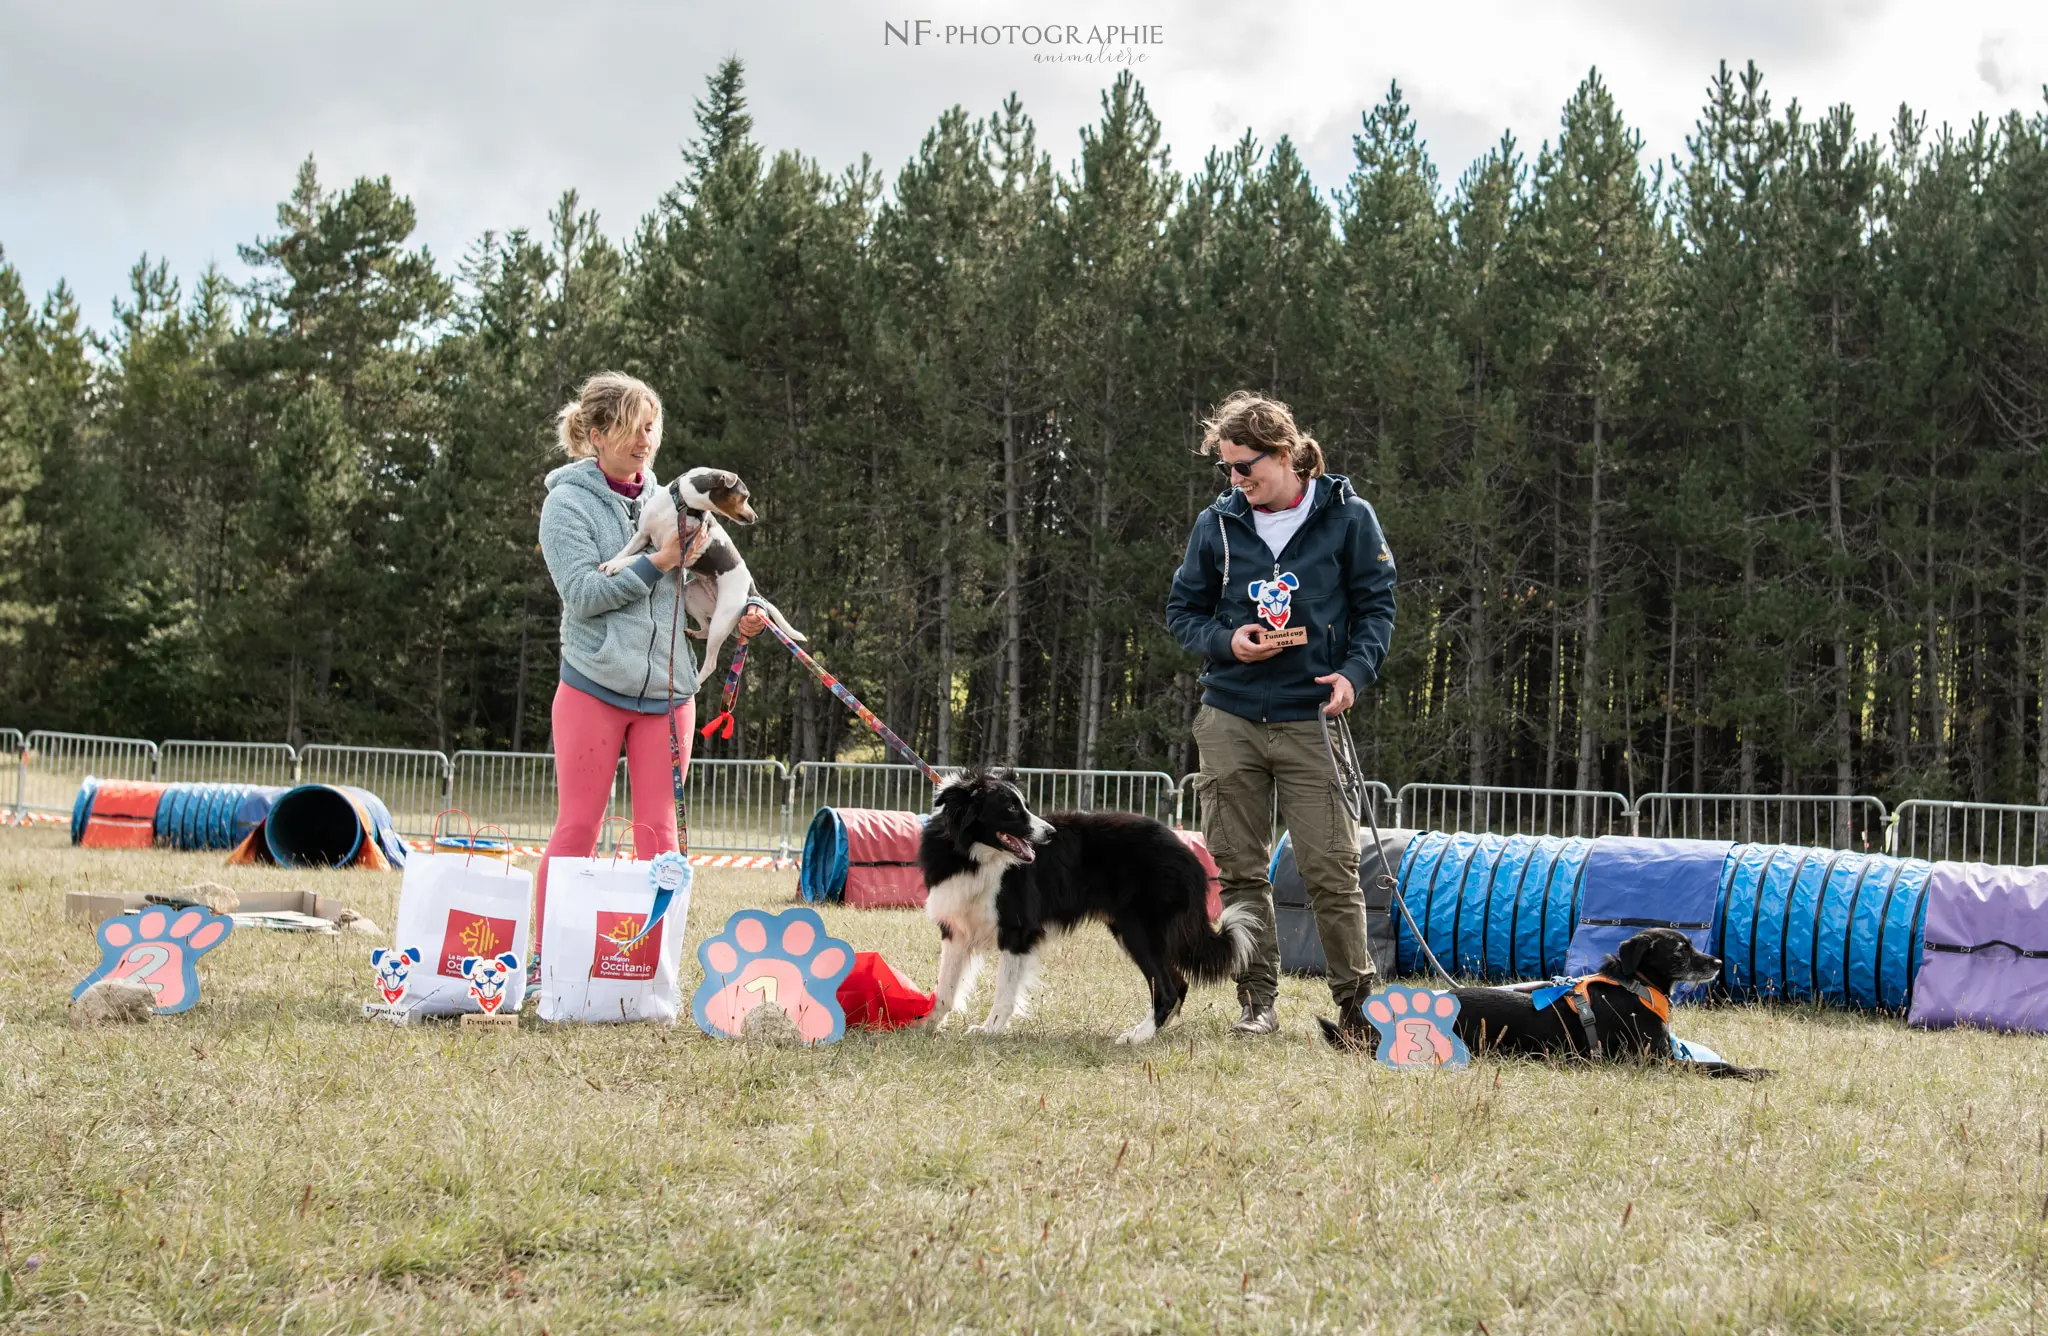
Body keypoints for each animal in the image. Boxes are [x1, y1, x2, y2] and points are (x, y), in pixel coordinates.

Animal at [1327, 934, 1777, 1081]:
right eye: (1680, 949)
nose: (1717, 962)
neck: (1635, 986)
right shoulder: (1655, 1061)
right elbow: (1718, 1065)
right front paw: (1757, 1071)